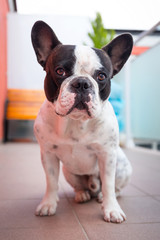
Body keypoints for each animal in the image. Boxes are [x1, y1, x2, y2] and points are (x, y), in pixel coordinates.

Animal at [31, 20, 132, 223]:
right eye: (60, 71)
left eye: (101, 76)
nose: (82, 83)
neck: (74, 122)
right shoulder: (48, 155)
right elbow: (51, 182)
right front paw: (48, 204)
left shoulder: (107, 155)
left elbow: (108, 184)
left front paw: (112, 209)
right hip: (69, 172)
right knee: (80, 186)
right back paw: (82, 195)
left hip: (123, 168)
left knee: (114, 187)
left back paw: (101, 196)